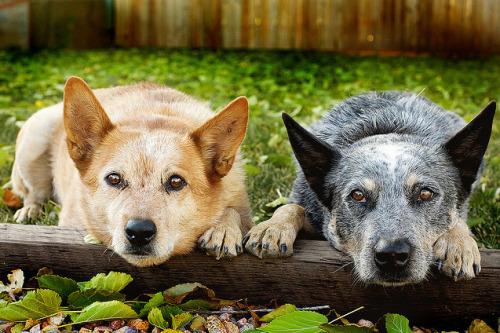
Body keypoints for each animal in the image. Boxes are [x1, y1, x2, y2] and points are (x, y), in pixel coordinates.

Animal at [11, 76, 254, 266]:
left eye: (176, 182)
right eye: (114, 178)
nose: (139, 232)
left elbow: (235, 212)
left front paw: (223, 229)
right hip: (32, 144)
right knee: (33, 194)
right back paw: (29, 211)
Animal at [244, 91, 494, 286]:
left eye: (425, 193)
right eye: (358, 195)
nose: (392, 255)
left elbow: (458, 219)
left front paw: (458, 243)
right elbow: (293, 207)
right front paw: (272, 227)